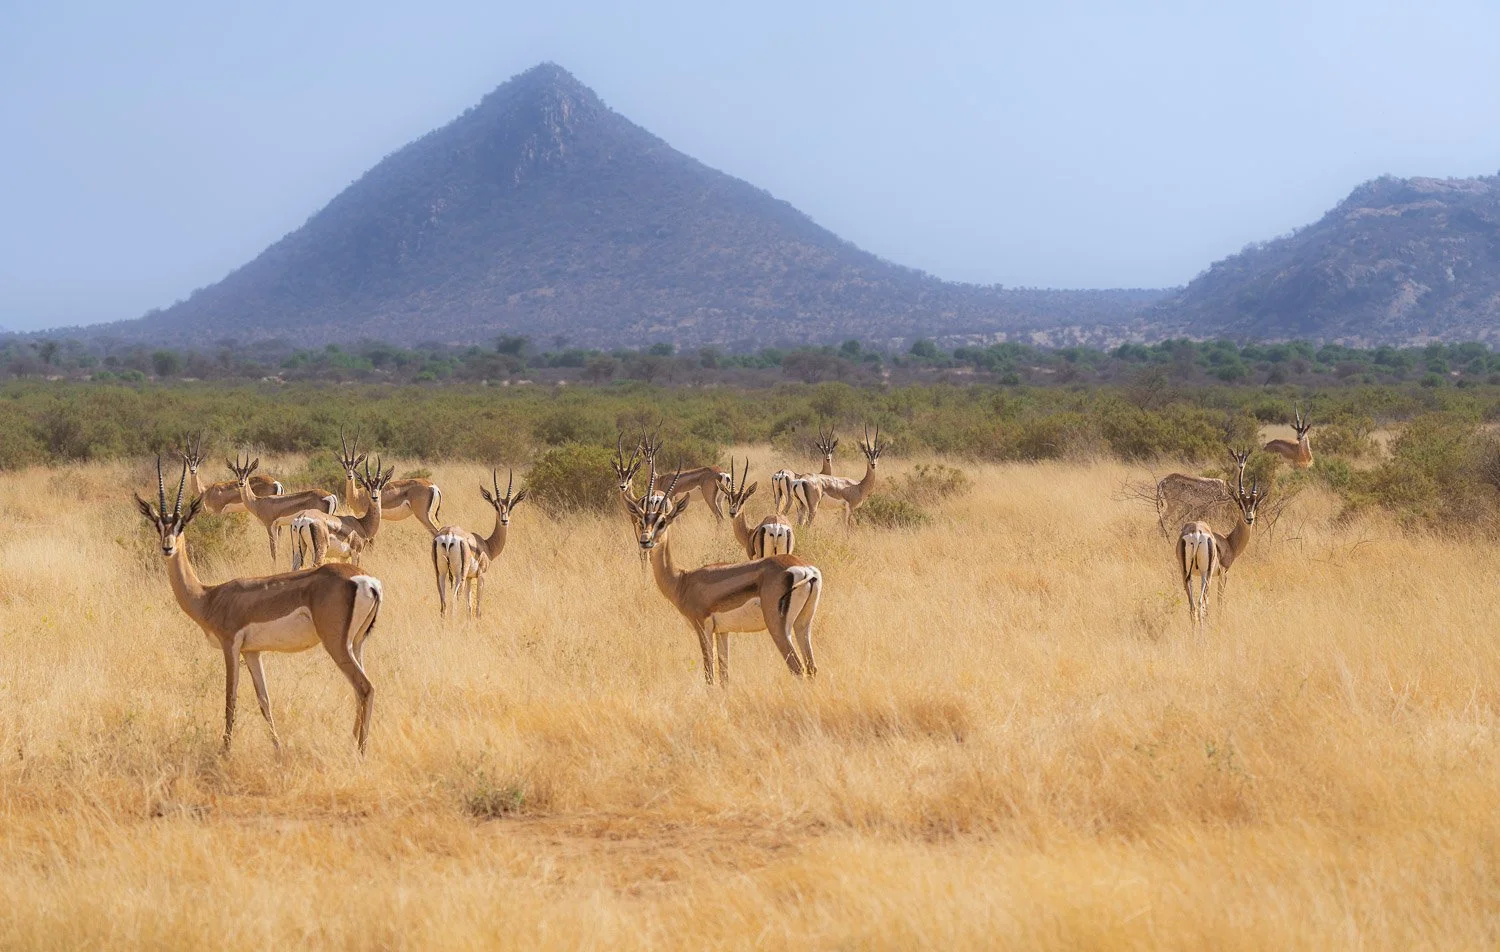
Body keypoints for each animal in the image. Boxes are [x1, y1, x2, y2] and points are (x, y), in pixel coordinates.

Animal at [134, 458, 382, 754]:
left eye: (182, 524)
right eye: (158, 525)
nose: (167, 548)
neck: (209, 596)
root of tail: (367, 580)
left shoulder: (230, 646)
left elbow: (230, 699)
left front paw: (225, 751)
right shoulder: (253, 652)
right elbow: (264, 700)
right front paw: (277, 750)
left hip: (336, 645)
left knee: (365, 687)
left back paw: (359, 752)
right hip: (357, 644)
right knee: (361, 690)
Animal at [431, 469, 528, 619]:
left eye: (511, 506)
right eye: (496, 506)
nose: (504, 520)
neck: (486, 545)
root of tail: (449, 534)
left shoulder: (470, 578)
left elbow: (469, 606)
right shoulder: (481, 575)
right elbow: (477, 606)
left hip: (440, 573)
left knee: (443, 601)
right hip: (460, 575)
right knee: (455, 597)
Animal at [631, 461, 822, 686]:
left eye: (662, 522)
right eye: (642, 521)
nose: (645, 541)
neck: (682, 579)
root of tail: (805, 570)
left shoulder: (702, 628)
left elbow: (709, 676)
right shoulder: (722, 632)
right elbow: (724, 676)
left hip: (779, 628)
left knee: (797, 668)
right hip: (803, 625)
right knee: (812, 668)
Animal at [1177, 451, 1267, 633]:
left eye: (1255, 504)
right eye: (1240, 504)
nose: (1249, 519)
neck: (1228, 542)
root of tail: (1196, 532)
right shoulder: (1223, 573)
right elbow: (1219, 600)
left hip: (1186, 574)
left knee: (1192, 605)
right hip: (1206, 574)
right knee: (1201, 602)